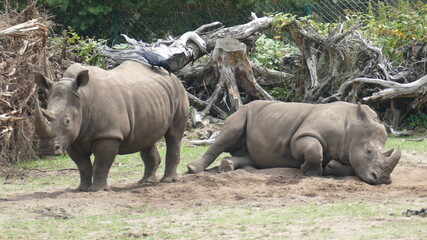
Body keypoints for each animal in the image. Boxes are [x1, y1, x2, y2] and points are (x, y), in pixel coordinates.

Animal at [36, 60, 190, 191]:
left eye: (67, 121)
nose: (46, 149)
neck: (83, 98)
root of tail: (174, 76)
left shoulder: (108, 134)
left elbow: (101, 164)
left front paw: (97, 190)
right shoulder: (72, 138)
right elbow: (83, 166)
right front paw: (82, 189)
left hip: (179, 91)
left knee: (174, 136)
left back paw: (168, 181)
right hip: (151, 97)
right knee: (147, 137)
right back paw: (145, 182)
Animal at [187, 100, 402, 185]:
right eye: (368, 152)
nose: (383, 180)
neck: (351, 129)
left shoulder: (349, 151)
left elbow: (352, 166)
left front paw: (331, 168)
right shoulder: (302, 136)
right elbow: (314, 149)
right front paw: (310, 172)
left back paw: (227, 166)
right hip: (242, 112)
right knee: (228, 135)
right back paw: (193, 169)